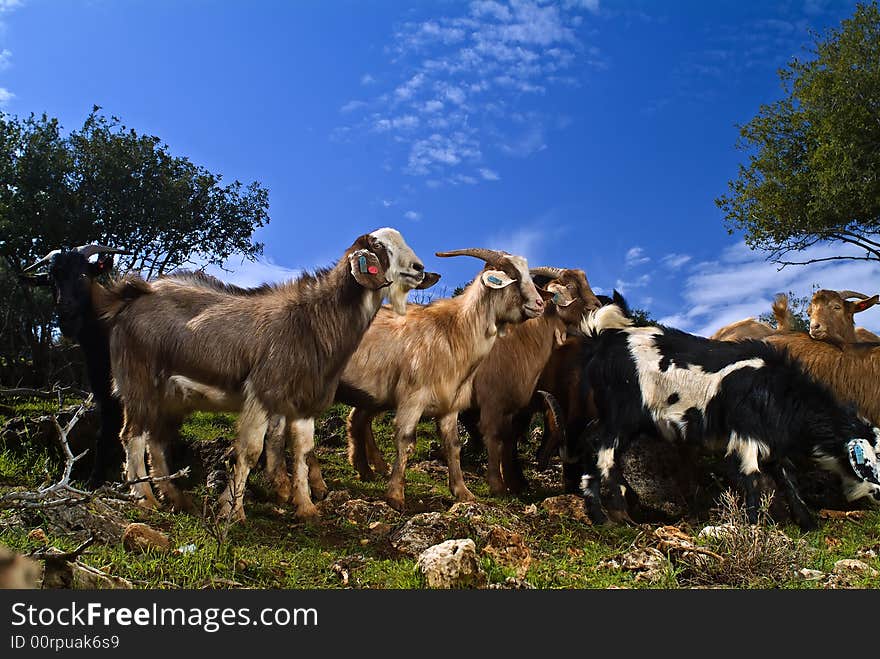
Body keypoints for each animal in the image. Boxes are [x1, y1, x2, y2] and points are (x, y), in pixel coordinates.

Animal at [20, 245, 129, 488]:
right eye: (51, 279)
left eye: (82, 275)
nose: (65, 309)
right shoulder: (102, 388)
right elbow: (105, 432)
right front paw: (96, 480)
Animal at [93, 229, 436, 524]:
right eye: (380, 247)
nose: (419, 268)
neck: (312, 320)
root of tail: (134, 295)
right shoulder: (262, 392)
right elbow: (250, 452)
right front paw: (233, 511)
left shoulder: (304, 401)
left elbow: (302, 452)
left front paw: (306, 507)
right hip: (138, 381)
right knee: (133, 435)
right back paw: (145, 498)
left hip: (169, 397)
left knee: (156, 439)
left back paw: (175, 497)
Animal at [576, 300, 880, 532]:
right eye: (871, 458)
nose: (878, 492)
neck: (778, 390)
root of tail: (601, 341)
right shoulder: (745, 435)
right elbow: (753, 478)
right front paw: (754, 527)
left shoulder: (773, 443)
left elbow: (788, 480)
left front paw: (807, 524)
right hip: (621, 415)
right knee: (605, 456)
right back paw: (621, 517)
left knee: (593, 449)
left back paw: (600, 518)